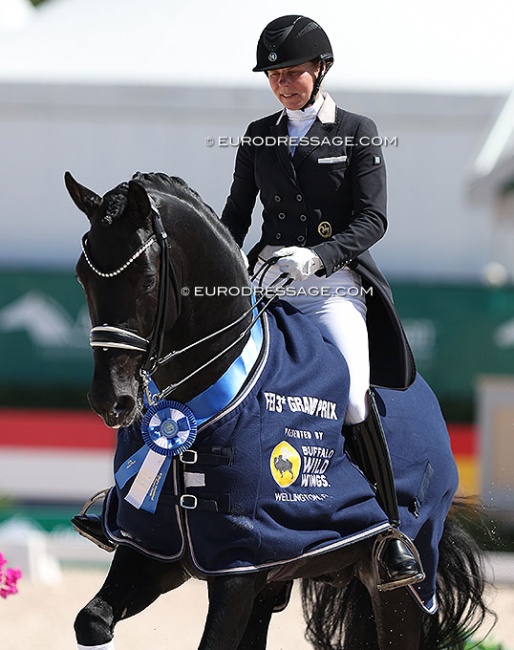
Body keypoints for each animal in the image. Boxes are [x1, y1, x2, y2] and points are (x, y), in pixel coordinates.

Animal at [66, 171, 490, 648]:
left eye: (148, 280)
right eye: (82, 277)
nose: (111, 400)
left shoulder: (238, 567)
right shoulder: (159, 548)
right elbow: (92, 622)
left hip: (400, 591)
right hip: (280, 577)